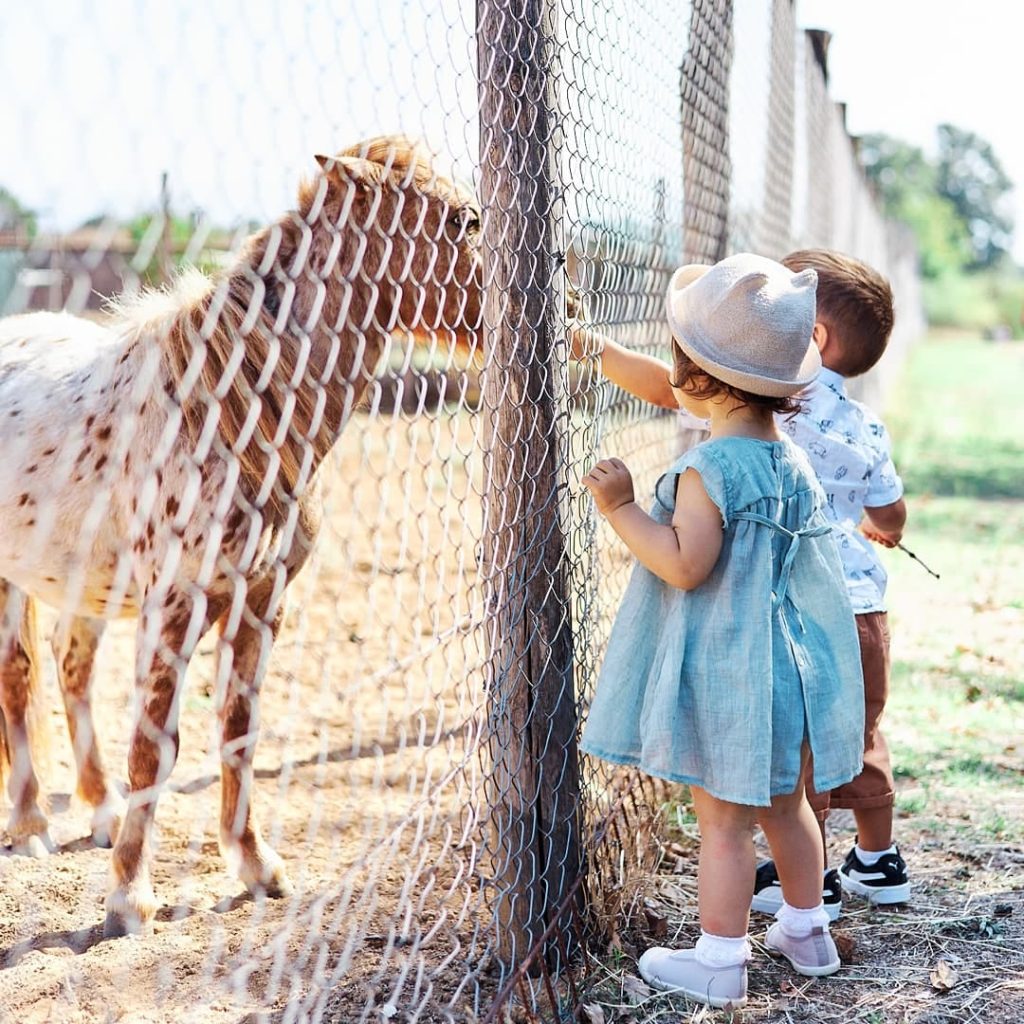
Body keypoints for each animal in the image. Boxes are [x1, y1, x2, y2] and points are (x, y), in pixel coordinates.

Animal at [0, 136, 481, 937]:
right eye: (464, 222)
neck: (224, 413)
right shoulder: (171, 607)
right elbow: (155, 746)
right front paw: (129, 898)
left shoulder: (260, 602)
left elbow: (238, 729)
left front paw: (256, 865)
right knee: (19, 678)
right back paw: (32, 824)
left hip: (79, 583)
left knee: (70, 670)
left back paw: (97, 811)